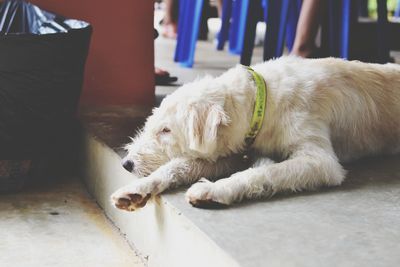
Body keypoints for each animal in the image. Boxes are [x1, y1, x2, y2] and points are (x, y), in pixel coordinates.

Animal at [111, 56, 400, 211]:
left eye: (166, 130)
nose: (126, 164)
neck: (262, 100)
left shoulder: (319, 161)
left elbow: (264, 172)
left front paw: (215, 189)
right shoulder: (231, 151)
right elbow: (177, 167)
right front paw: (138, 188)